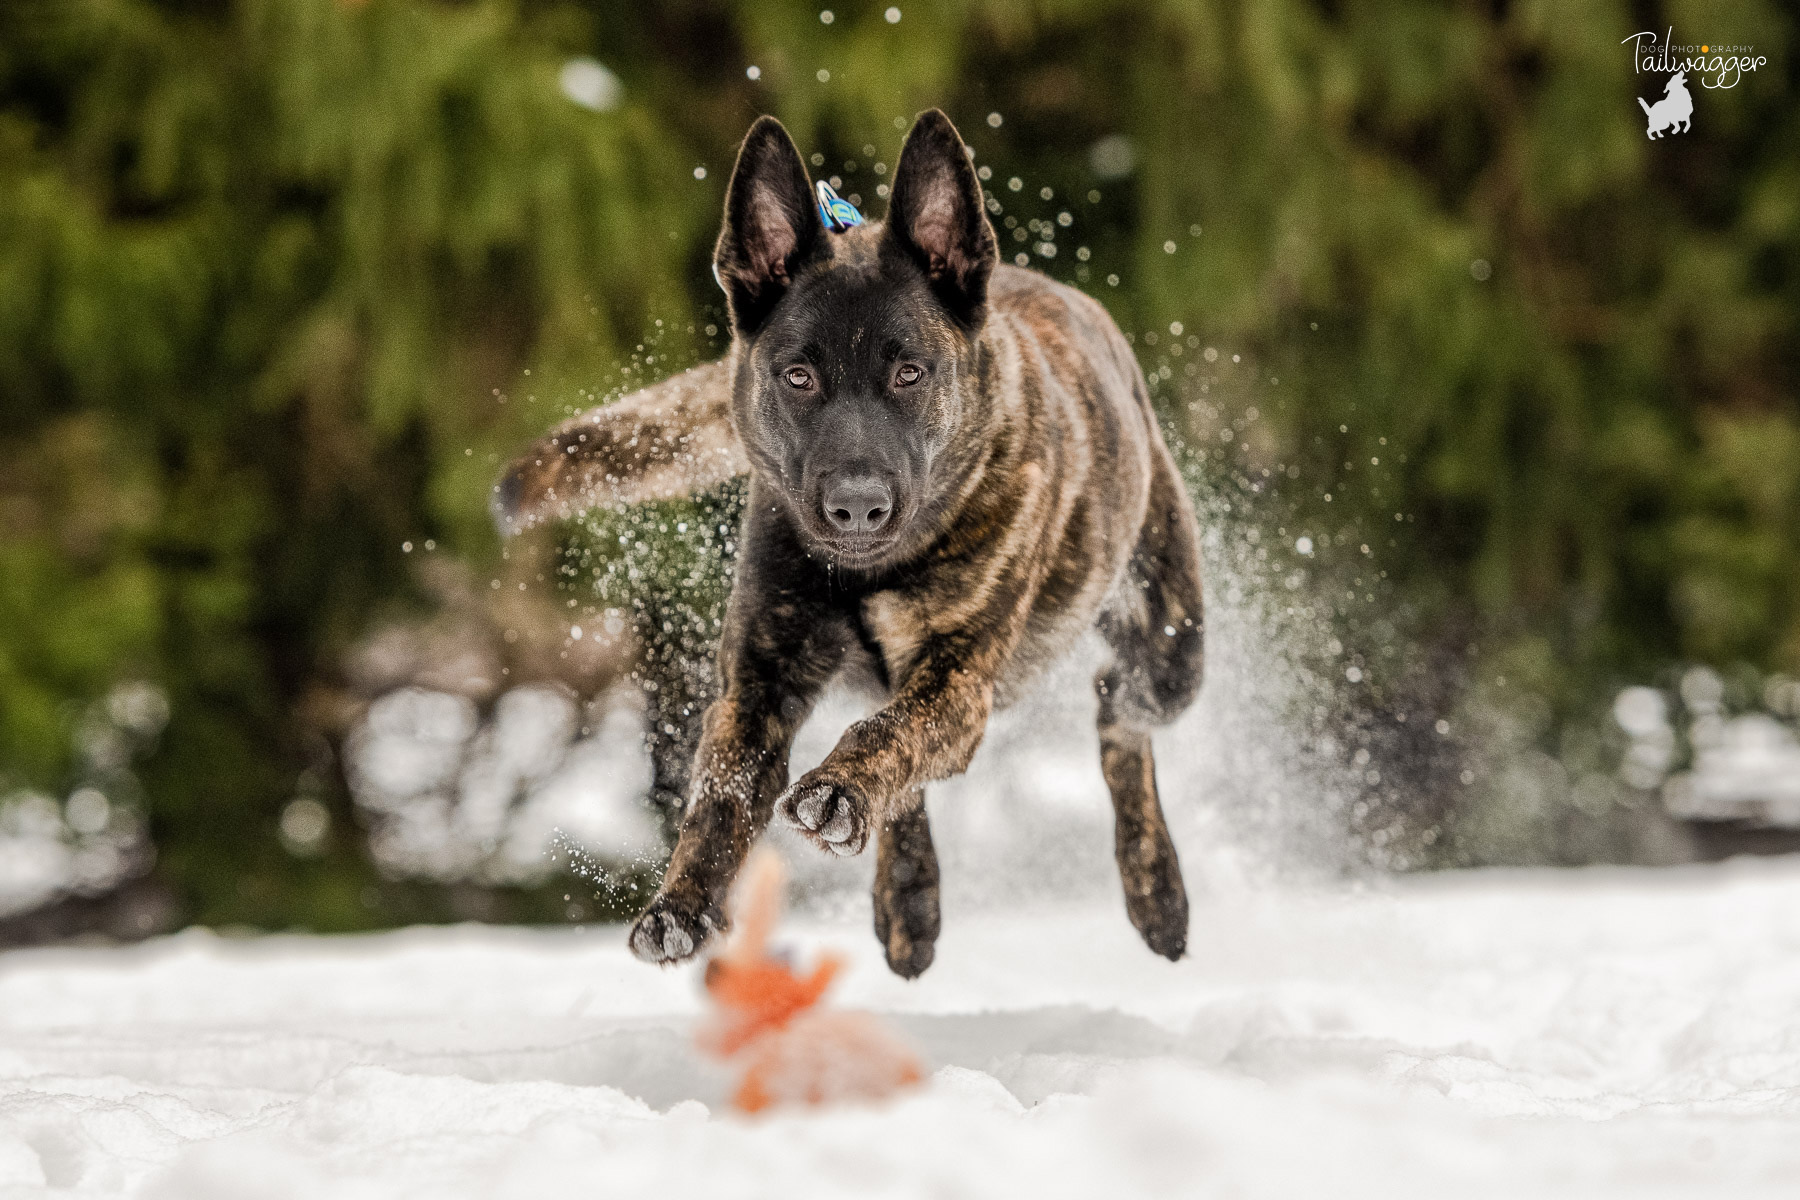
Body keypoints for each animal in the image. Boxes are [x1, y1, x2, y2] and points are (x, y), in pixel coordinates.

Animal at [493, 110, 1202, 978]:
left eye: (910, 374)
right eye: (798, 377)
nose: (856, 507)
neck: (868, 574)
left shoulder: (959, 679)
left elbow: (887, 734)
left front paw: (837, 792)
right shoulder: (758, 683)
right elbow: (721, 795)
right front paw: (682, 904)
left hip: (1167, 650)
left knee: (1116, 711)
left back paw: (1156, 891)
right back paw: (908, 897)